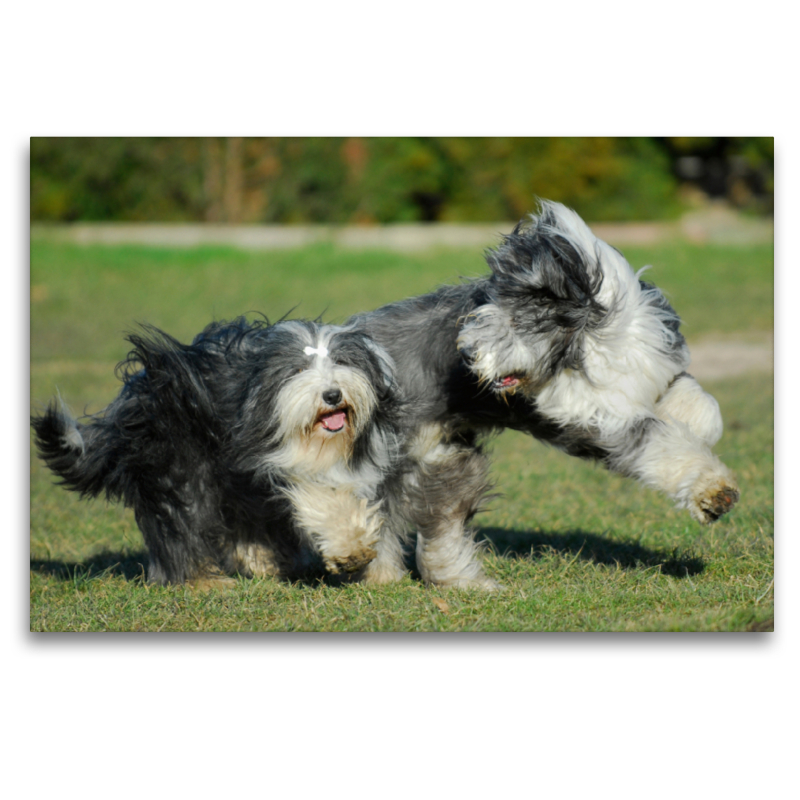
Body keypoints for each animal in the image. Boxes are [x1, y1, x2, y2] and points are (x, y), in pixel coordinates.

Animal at [32, 316, 404, 584]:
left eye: (342, 361)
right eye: (298, 370)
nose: (332, 394)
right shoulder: (265, 458)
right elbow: (317, 494)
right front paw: (350, 550)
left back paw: (260, 562)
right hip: (176, 466)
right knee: (181, 525)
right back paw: (201, 580)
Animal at [354, 200, 740, 588]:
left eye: (512, 319)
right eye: (479, 313)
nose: (466, 353)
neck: (589, 343)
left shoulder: (656, 369)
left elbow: (702, 406)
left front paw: (698, 429)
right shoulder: (599, 418)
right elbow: (660, 443)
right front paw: (714, 493)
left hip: (446, 457)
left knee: (436, 519)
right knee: (394, 513)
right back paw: (394, 575)